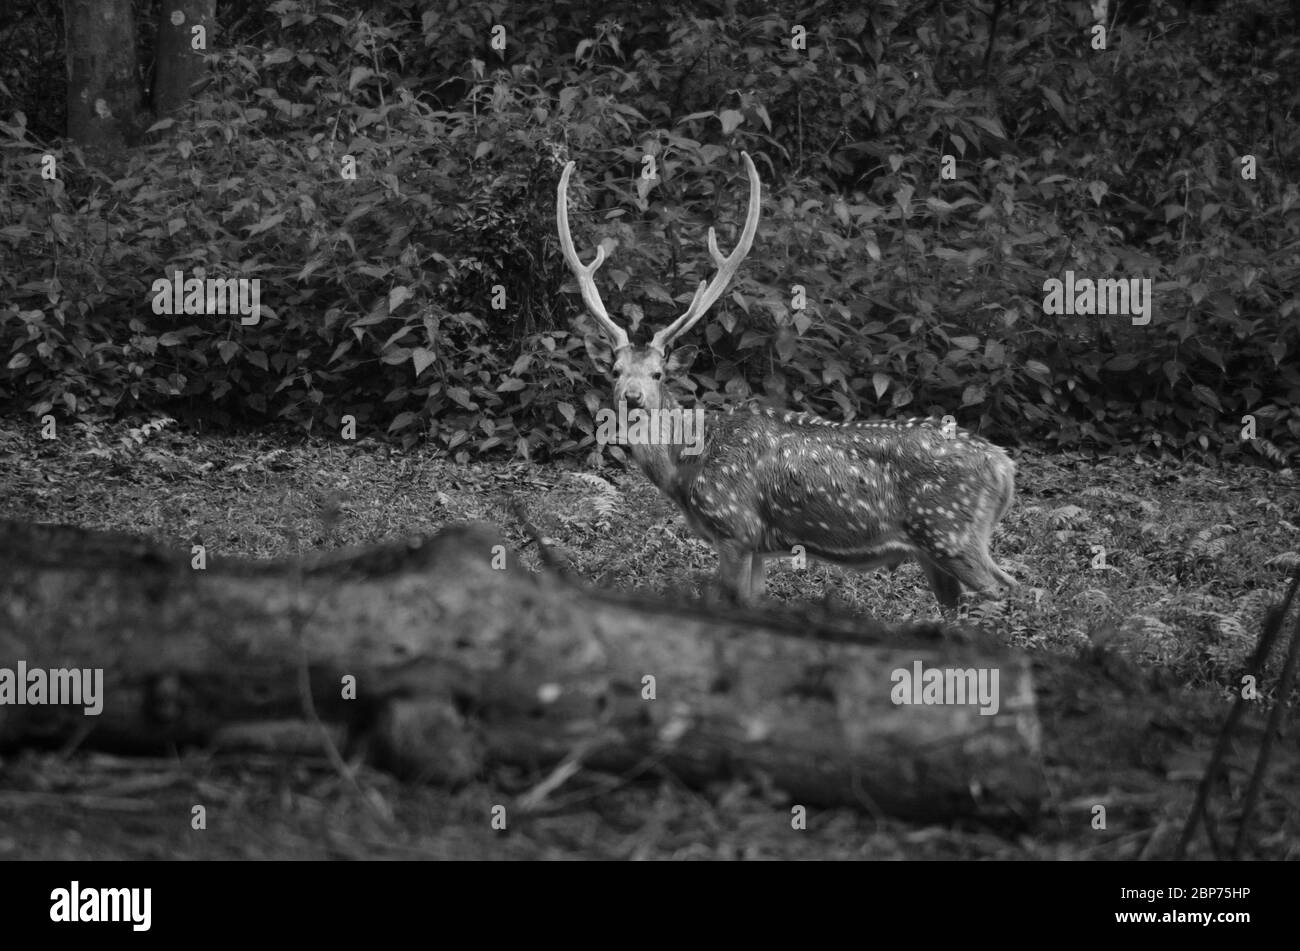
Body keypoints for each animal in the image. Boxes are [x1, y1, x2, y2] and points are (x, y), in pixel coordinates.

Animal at [556, 151, 1016, 609]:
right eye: (615, 372)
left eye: (657, 373)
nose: (633, 397)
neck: (686, 469)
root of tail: (1004, 466)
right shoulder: (759, 547)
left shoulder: (734, 527)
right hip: (938, 549)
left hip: (950, 532)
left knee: (1007, 591)